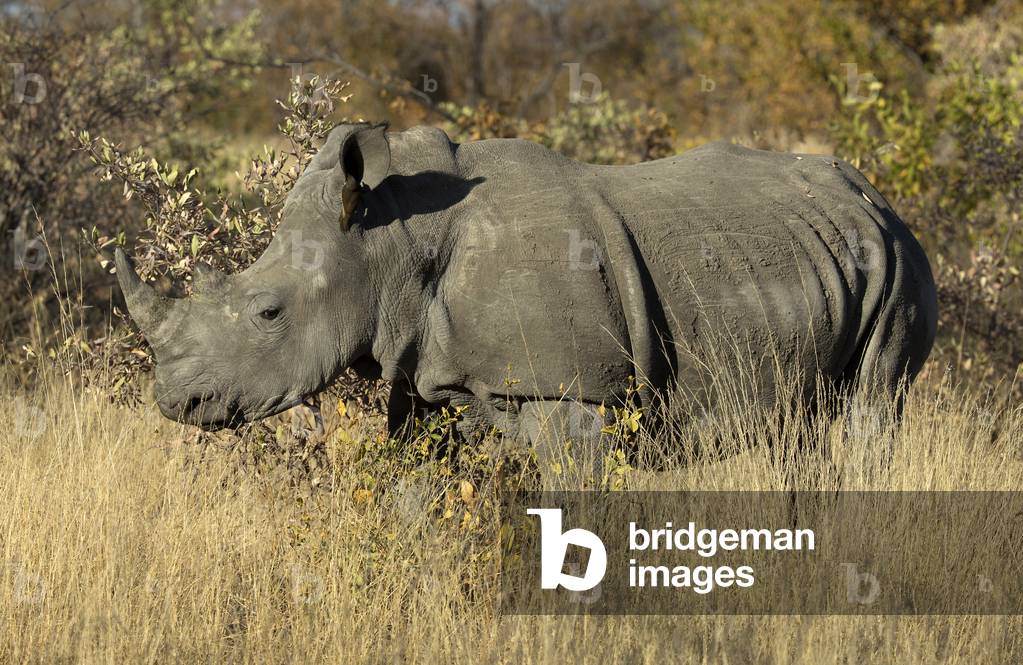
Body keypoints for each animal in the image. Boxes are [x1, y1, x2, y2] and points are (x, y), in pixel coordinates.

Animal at [114, 122, 937, 458]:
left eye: (268, 312)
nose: (174, 401)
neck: (391, 242)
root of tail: (879, 201)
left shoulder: (570, 390)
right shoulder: (425, 378)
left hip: (898, 265)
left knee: (869, 412)